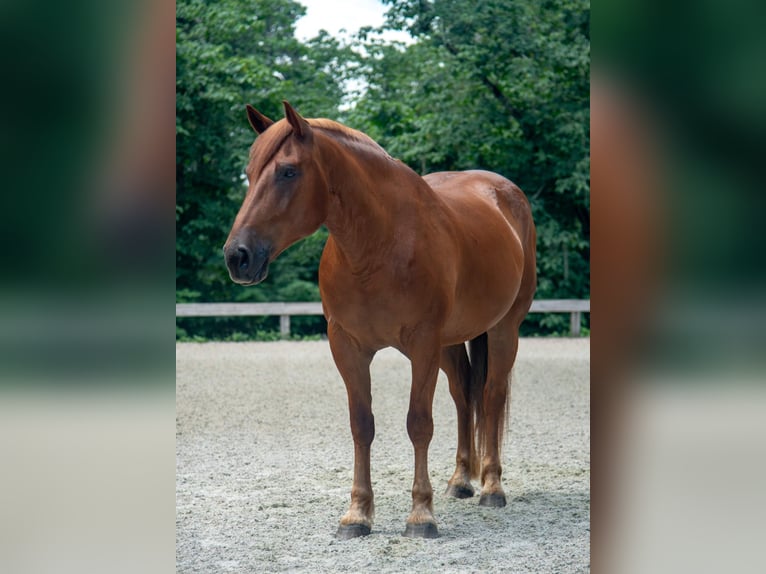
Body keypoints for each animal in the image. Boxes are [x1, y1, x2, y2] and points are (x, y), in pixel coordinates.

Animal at [224, 101, 536, 539]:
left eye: (288, 171)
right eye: (250, 173)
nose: (238, 256)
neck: (379, 244)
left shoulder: (422, 345)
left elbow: (419, 423)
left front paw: (421, 515)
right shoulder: (348, 346)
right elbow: (362, 425)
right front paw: (357, 514)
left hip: (504, 329)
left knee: (491, 396)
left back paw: (492, 486)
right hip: (450, 343)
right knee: (463, 397)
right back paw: (461, 480)